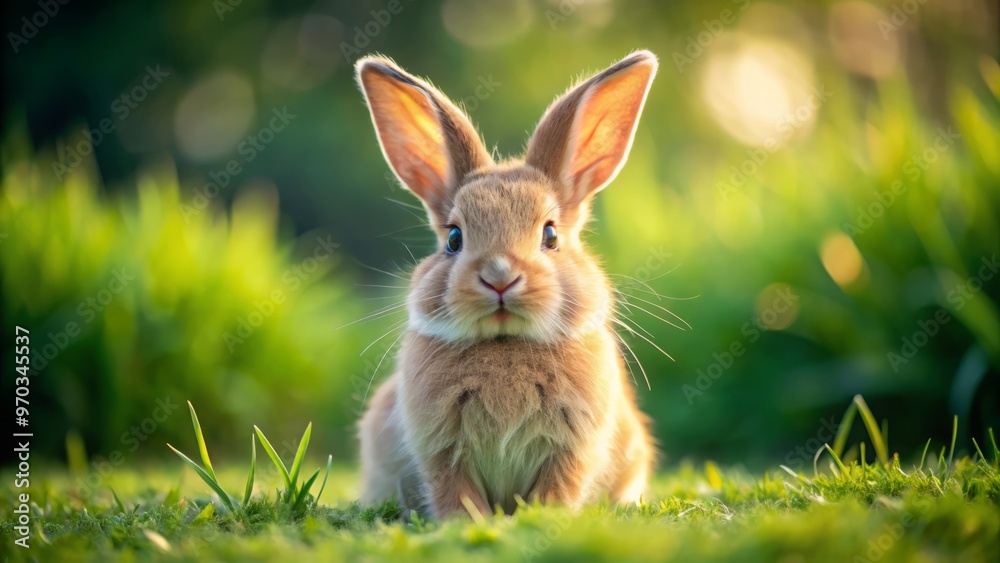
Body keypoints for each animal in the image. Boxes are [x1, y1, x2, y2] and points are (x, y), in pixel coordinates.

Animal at [356, 50, 659, 518]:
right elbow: (455, 491)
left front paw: (543, 517)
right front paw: (467, 522)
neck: (505, 342)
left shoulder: (571, 450)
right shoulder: (442, 452)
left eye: (550, 235)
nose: (499, 276)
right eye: (454, 239)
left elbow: (558, 486)